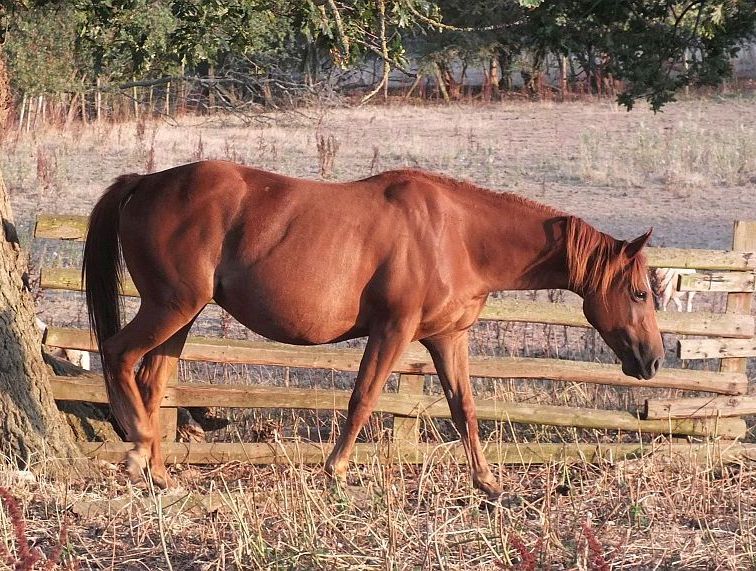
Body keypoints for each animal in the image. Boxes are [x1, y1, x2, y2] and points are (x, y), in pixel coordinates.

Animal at [83, 160, 664, 499]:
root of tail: (144, 183)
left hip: (182, 314)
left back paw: (161, 475)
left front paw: (489, 484)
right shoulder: (393, 330)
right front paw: (335, 472)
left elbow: (465, 410)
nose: (653, 360)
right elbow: (363, 398)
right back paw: (137, 451)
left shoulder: (447, 338)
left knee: (153, 379)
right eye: (639, 293)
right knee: (118, 354)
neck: (455, 234)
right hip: (170, 306)